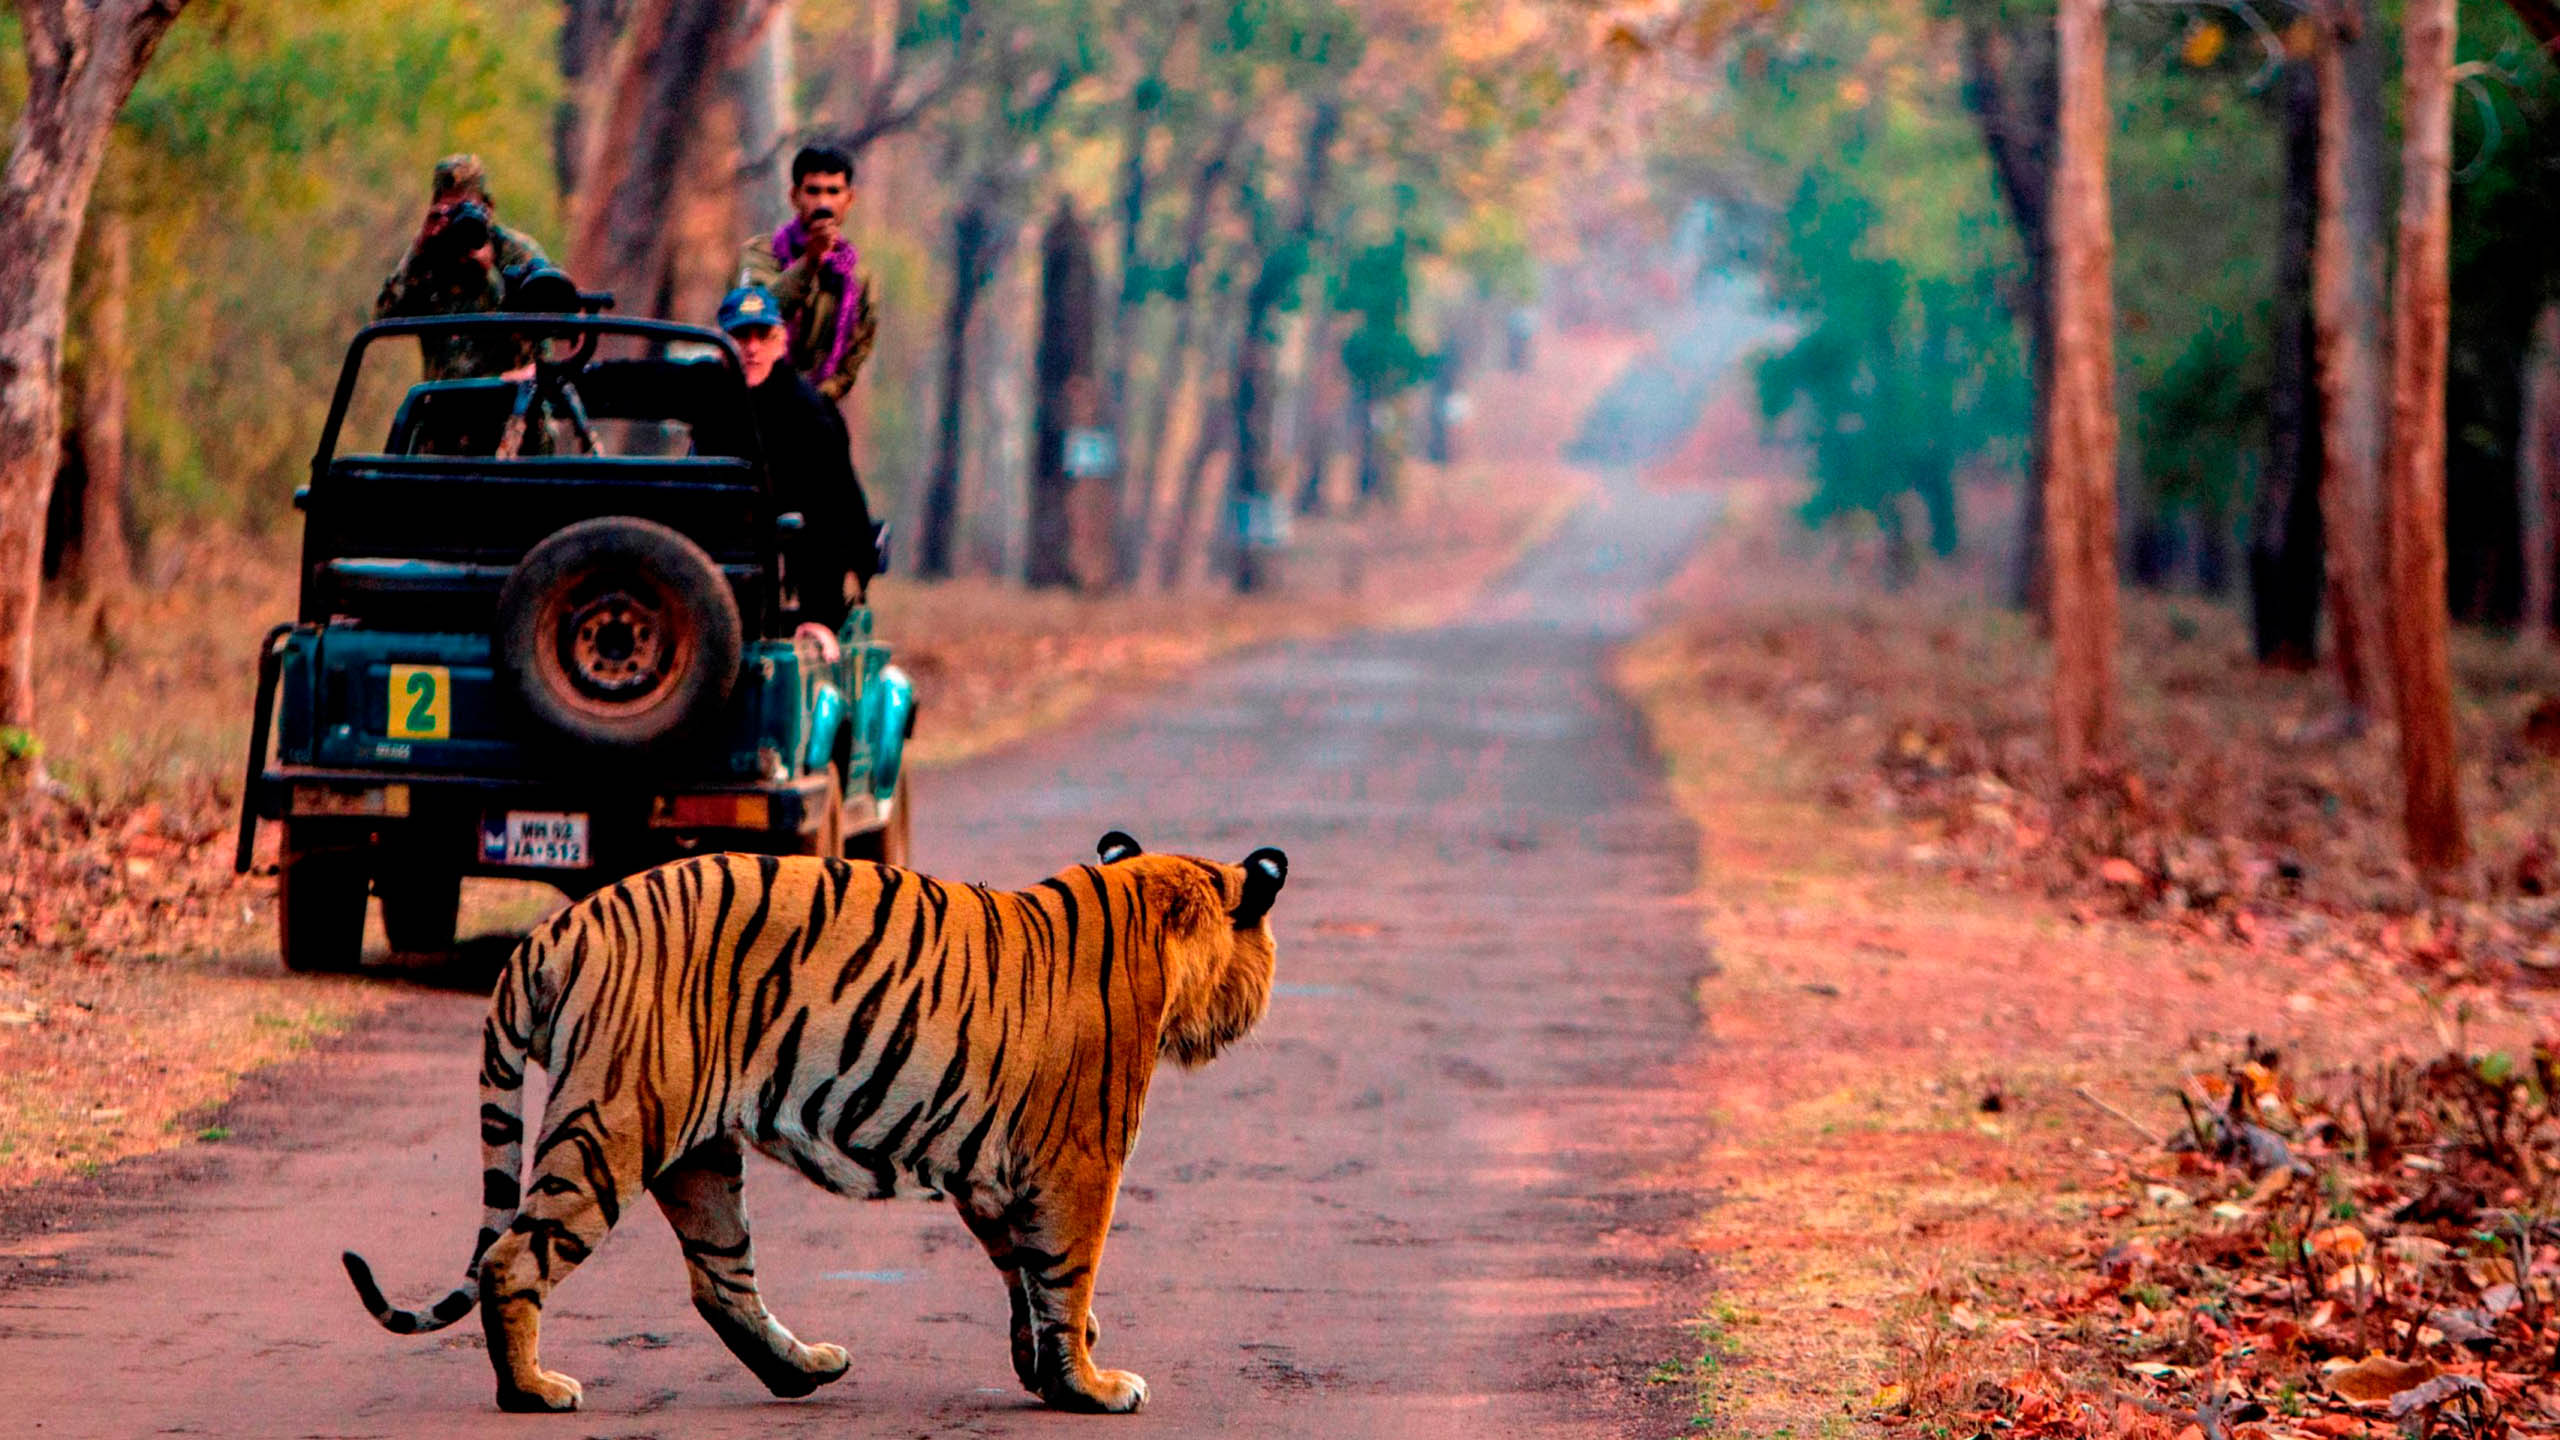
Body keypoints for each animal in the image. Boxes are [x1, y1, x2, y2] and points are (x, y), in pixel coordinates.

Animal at [341, 830, 1287, 1417]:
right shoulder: (1079, 1163)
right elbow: (1065, 1274)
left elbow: (1024, 1276)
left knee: (719, 1280)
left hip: (699, 1153)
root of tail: (557, 928)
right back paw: (532, 1391)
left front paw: (1050, 1367)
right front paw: (1090, 1384)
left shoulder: (994, 1178)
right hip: (611, 1125)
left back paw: (803, 1371)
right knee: (512, 1257)